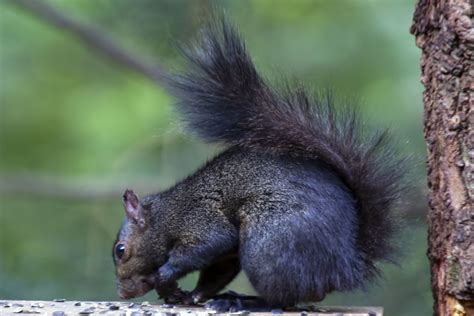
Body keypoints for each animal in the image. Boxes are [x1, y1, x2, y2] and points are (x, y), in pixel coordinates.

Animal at [110, 17, 404, 312]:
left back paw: (249, 301)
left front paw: (165, 277)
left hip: (266, 248)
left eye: (120, 251)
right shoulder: (226, 255)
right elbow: (216, 274)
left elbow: (207, 244)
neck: (165, 217)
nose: (122, 294)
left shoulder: (199, 220)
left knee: (284, 299)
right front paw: (189, 295)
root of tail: (346, 268)